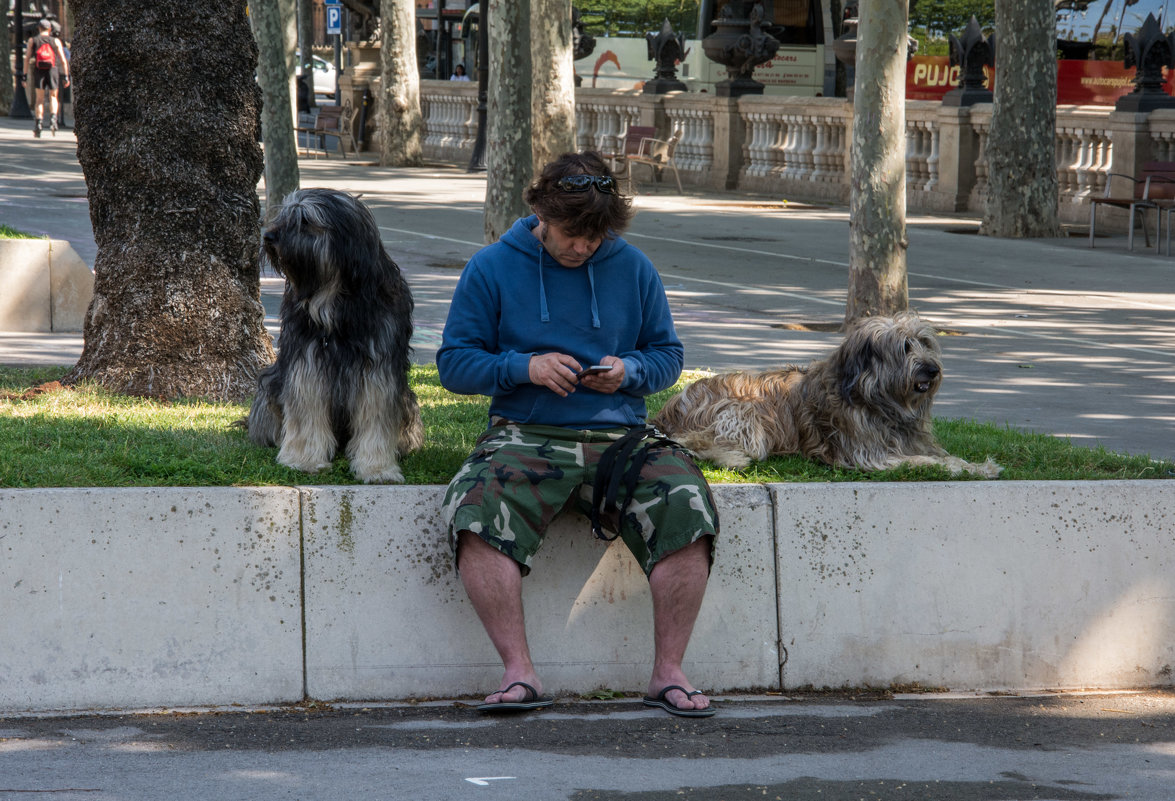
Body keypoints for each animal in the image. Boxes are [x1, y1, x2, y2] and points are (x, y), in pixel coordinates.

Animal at [246, 189, 422, 481]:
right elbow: (306, 413)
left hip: (407, 402)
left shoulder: (378, 366)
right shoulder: (307, 362)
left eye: (305, 221)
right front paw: (304, 460)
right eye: (284, 215)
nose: (268, 237)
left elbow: (376, 417)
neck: (336, 302)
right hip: (269, 387)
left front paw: (377, 468)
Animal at [653, 310, 1001, 474]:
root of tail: (669, 411)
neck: (877, 401)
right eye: (904, 348)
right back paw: (734, 457)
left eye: (926, 343)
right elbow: (925, 462)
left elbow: (944, 456)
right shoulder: (870, 455)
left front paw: (977, 466)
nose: (932, 370)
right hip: (745, 414)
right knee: (698, 444)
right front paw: (968, 469)